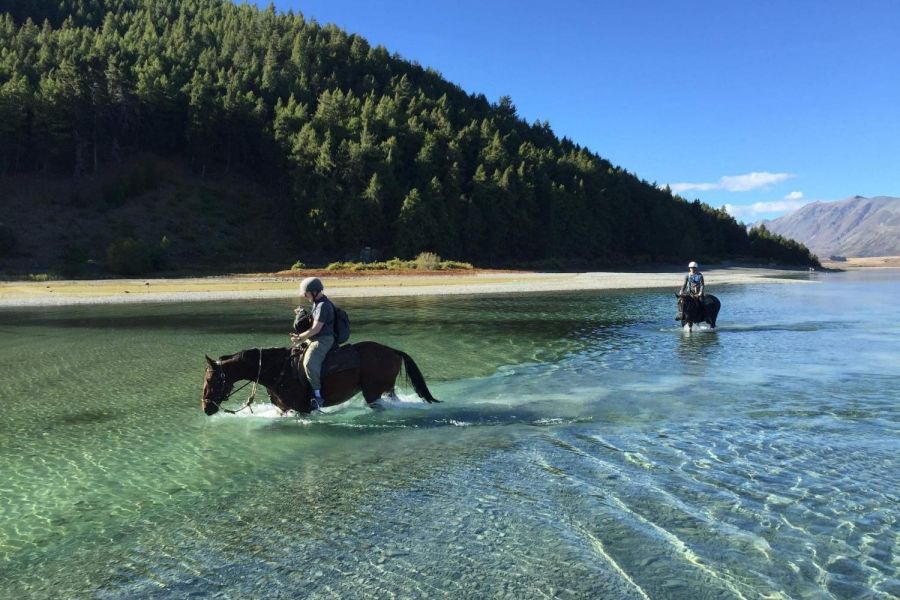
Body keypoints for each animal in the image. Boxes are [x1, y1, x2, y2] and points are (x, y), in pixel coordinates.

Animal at [201, 322, 439, 416]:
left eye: (211, 380)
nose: (206, 407)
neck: (276, 370)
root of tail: (393, 351)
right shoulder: (284, 410)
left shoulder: (301, 410)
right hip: (386, 389)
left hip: (373, 393)